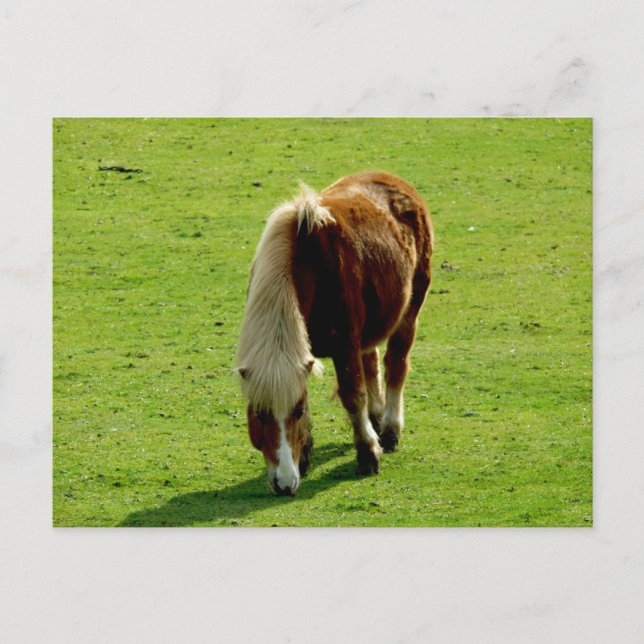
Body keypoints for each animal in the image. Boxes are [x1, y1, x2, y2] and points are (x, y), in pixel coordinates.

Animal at [235, 172, 434, 495]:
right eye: (260, 414)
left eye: (297, 412)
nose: (284, 484)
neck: (308, 264)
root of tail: (394, 181)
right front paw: (304, 455)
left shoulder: (345, 346)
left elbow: (353, 396)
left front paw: (368, 454)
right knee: (372, 364)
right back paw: (376, 419)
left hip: (409, 311)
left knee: (396, 365)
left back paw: (389, 431)